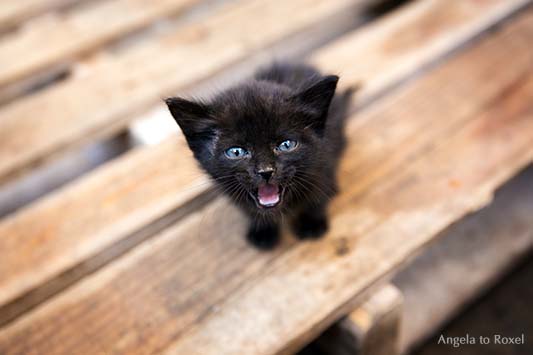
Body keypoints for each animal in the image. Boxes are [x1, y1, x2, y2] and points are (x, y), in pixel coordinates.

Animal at [164, 62, 352, 250]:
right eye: (236, 152)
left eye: (286, 145)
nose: (266, 171)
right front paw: (263, 230)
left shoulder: (324, 157)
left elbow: (317, 192)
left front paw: (312, 222)